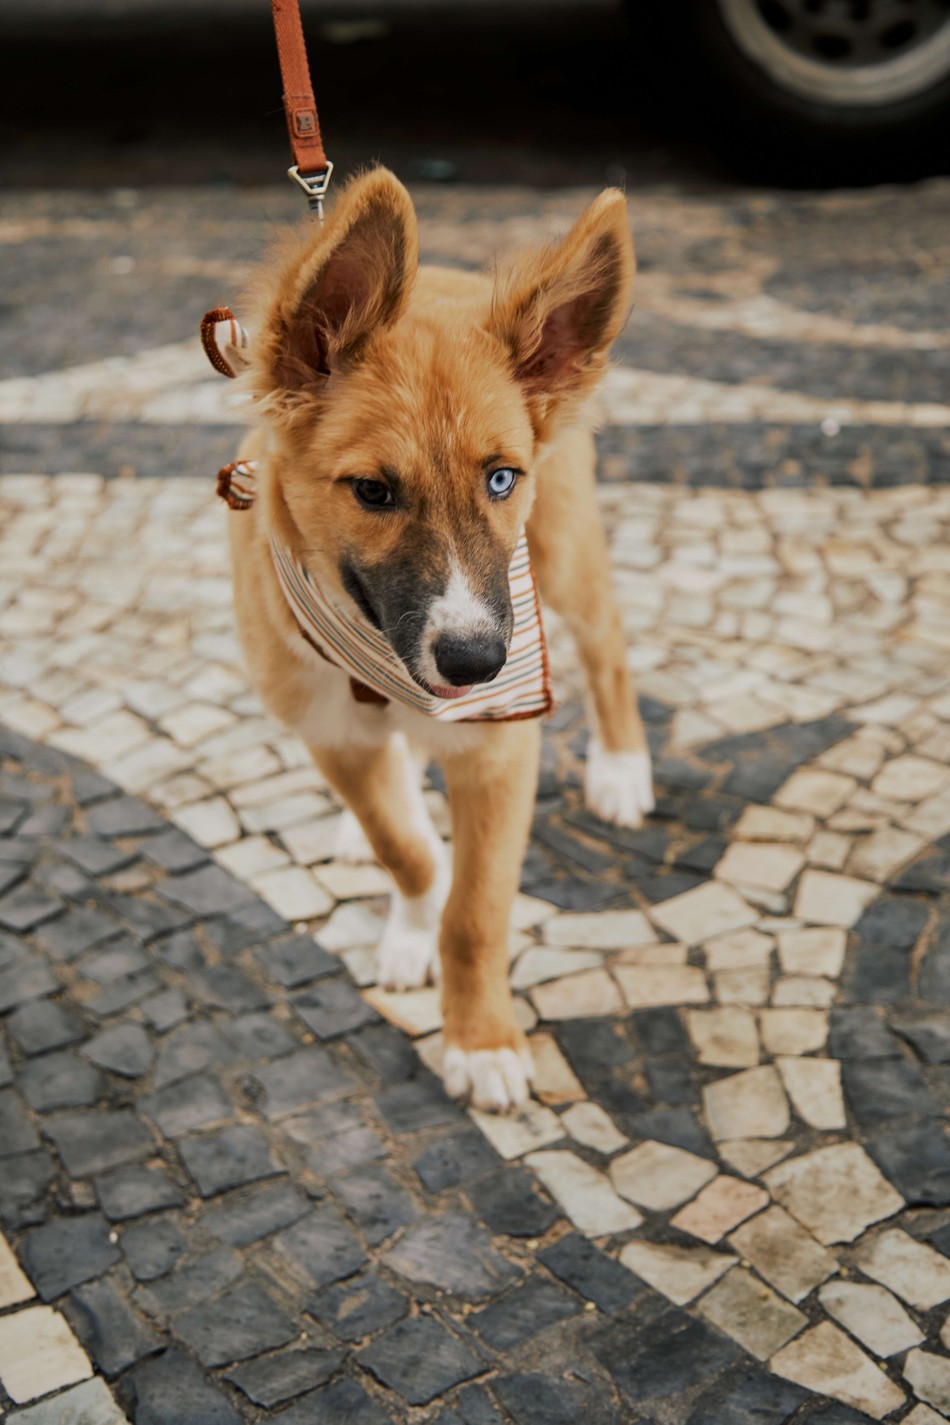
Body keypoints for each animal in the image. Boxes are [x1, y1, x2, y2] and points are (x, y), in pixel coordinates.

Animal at [233, 169, 658, 1111]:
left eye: (500, 478)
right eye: (373, 491)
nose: (475, 663)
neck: (379, 666)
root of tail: (451, 276)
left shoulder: (500, 746)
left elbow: (476, 912)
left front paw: (481, 1041)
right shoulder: (333, 734)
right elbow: (408, 853)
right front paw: (407, 922)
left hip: (566, 555)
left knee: (609, 647)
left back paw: (621, 769)